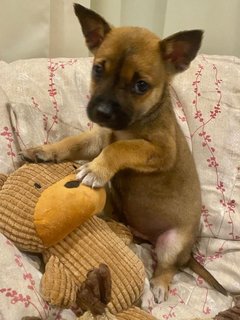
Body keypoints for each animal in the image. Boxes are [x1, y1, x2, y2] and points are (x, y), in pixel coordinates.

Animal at [22, 3, 227, 302]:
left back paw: (159, 286)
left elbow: (121, 147)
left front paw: (96, 170)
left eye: (141, 85)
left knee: (168, 266)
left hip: (172, 243)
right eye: (97, 70)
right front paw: (45, 151)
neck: (129, 124)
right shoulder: (97, 139)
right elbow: (72, 142)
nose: (102, 111)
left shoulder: (160, 152)